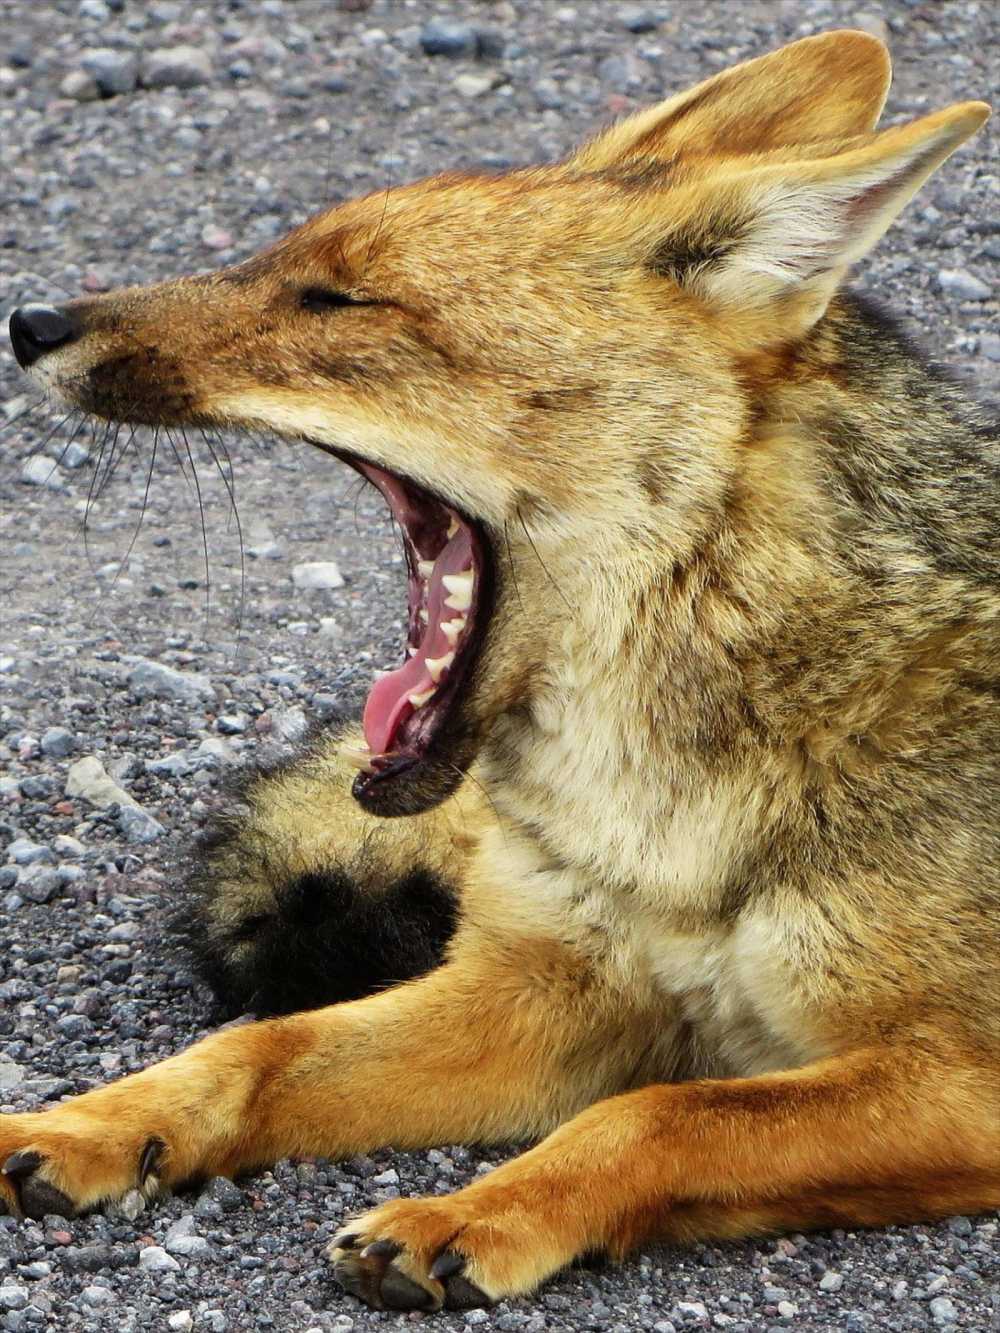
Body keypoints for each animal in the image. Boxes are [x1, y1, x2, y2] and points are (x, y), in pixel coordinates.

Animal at [3, 28, 998, 1315]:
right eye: (275, 259)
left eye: (338, 297)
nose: (31, 321)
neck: (663, 835)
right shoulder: (541, 992)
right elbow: (255, 1046)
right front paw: (95, 1124)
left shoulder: (958, 1074)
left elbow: (659, 1114)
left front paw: (472, 1210)